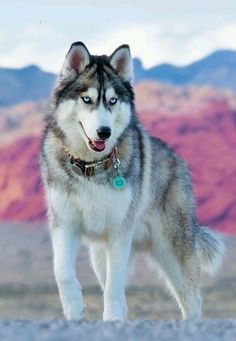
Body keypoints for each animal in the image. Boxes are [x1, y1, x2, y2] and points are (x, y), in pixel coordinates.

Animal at [41, 41, 225, 320]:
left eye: (113, 100)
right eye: (87, 99)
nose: (104, 132)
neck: (91, 167)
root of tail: (179, 161)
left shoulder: (119, 231)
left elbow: (114, 288)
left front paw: (112, 319)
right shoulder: (65, 222)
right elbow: (62, 271)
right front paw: (74, 308)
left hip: (172, 250)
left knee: (192, 299)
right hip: (99, 255)